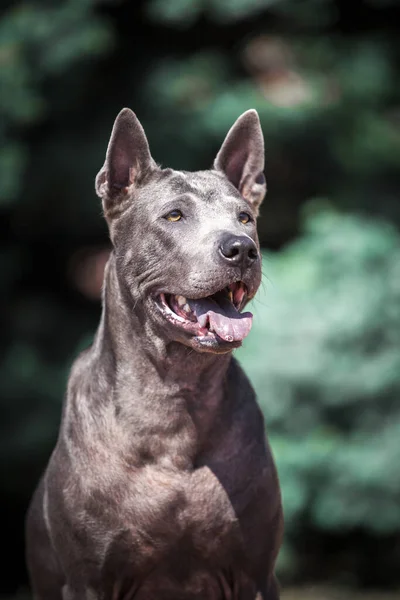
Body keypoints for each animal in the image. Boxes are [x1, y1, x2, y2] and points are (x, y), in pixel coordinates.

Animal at [25, 109, 282, 600]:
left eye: (244, 217)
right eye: (174, 215)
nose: (242, 248)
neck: (174, 400)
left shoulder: (254, 574)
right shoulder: (89, 580)